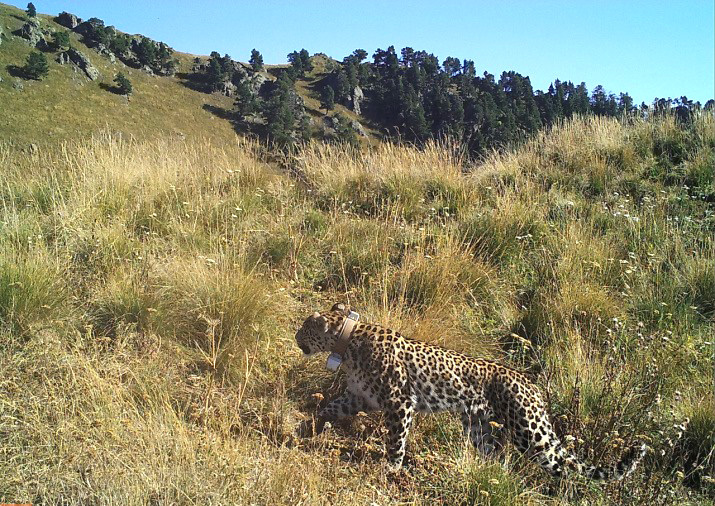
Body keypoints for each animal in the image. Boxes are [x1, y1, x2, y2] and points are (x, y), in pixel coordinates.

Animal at [296, 302, 648, 480]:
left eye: (304, 328)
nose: (295, 336)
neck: (347, 343)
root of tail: (533, 385)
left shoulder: (400, 401)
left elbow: (396, 439)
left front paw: (392, 467)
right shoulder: (361, 397)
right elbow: (330, 407)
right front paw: (306, 427)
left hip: (530, 432)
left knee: (564, 466)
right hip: (479, 426)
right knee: (495, 456)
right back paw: (489, 474)